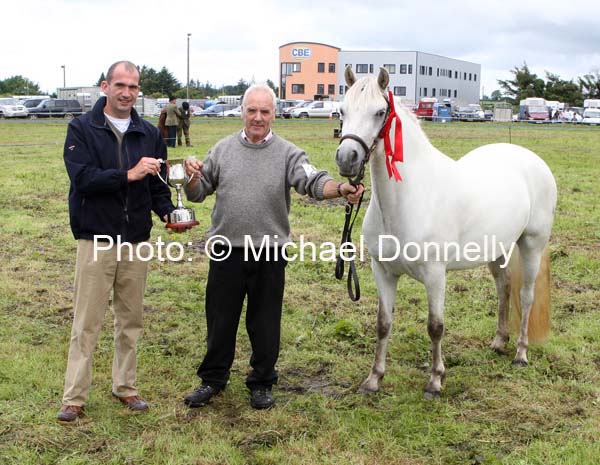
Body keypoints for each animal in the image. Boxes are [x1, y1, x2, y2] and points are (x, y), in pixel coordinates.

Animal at [336, 67, 556, 396]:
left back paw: (520, 354)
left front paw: (435, 380)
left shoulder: (435, 275)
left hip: (532, 245)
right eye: (342, 110)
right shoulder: (382, 271)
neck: (408, 199)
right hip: (498, 249)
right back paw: (498, 342)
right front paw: (374, 379)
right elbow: (383, 323)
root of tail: (532, 160)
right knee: (504, 288)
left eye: (379, 112)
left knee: (526, 296)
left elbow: (435, 326)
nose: (347, 158)